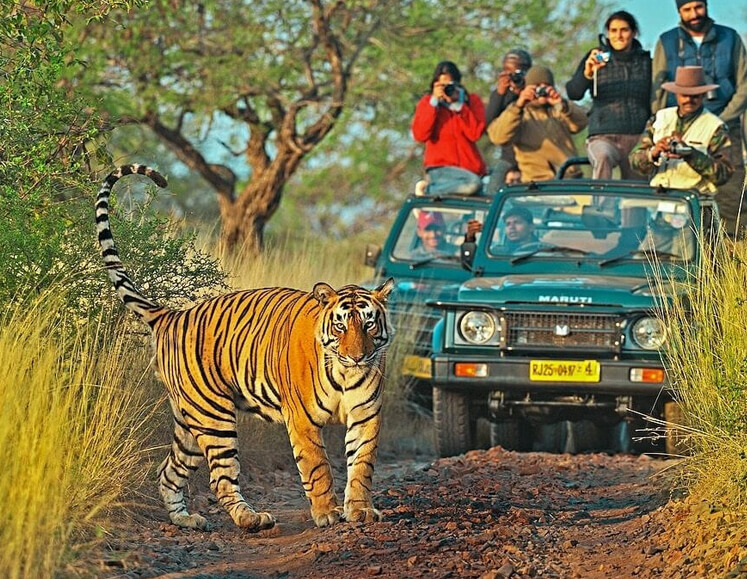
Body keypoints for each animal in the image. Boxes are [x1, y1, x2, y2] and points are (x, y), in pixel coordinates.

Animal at [95, 164, 394, 531]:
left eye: (368, 324)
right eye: (340, 326)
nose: (357, 356)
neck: (344, 373)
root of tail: (172, 314)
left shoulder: (366, 414)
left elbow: (362, 465)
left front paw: (361, 510)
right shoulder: (303, 421)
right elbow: (318, 468)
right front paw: (327, 513)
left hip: (189, 422)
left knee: (169, 472)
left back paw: (187, 520)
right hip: (213, 416)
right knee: (221, 478)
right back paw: (251, 518)